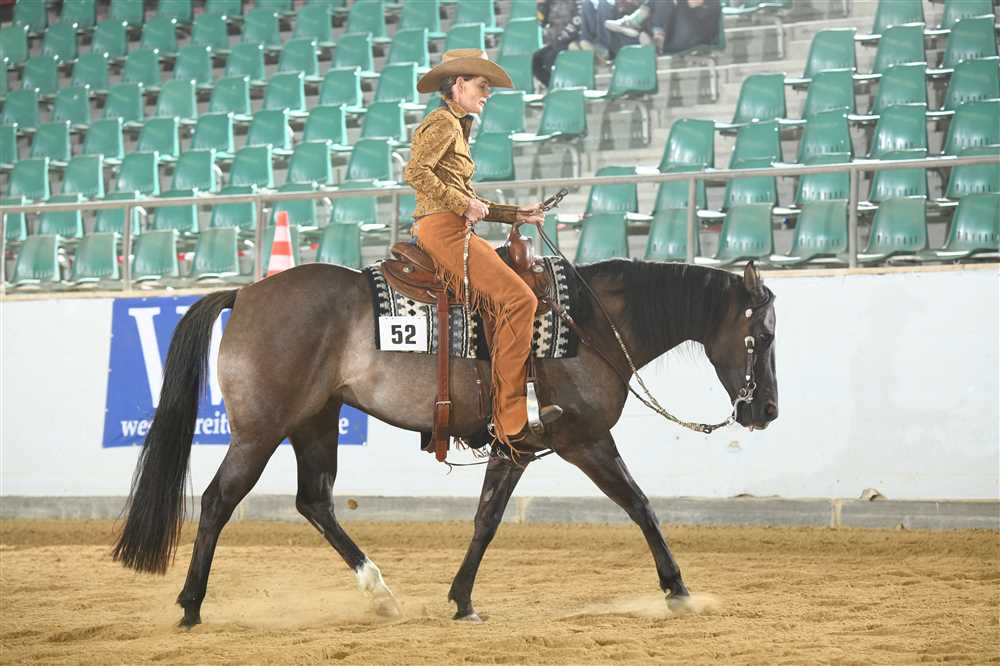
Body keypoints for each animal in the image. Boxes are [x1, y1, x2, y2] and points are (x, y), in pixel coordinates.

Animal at [112, 258, 778, 627]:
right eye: (764, 336)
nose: (766, 410)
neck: (586, 326)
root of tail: (246, 292)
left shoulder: (519, 447)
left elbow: (487, 518)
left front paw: (461, 600)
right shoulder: (583, 439)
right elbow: (640, 504)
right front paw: (679, 591)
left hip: (316, 421)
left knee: (315, 502)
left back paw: (380, 594)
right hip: (260, 431)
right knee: (218, 501)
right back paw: (191, 605)